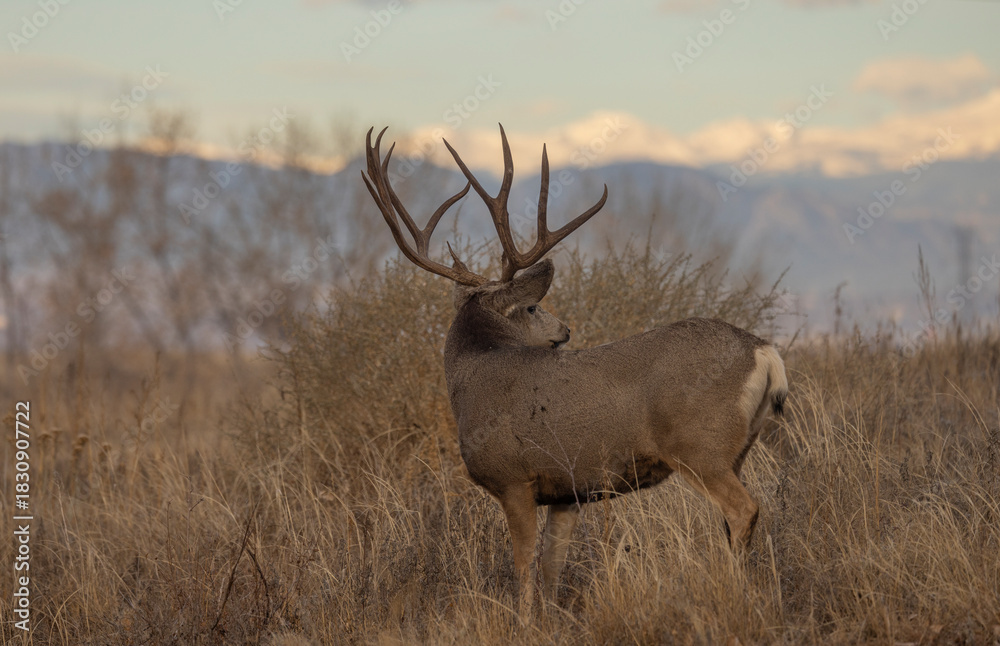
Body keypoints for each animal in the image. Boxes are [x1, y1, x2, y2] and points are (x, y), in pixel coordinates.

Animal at [360, 124, 788, 612]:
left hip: (700, 447)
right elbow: (552, 567)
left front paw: (523, 620)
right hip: (736, 450)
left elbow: (524, 565)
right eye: (533, 307)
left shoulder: (515, 478)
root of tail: (764, 351)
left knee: (744, 509)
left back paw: (735, 593)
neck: (472, 378)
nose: (565, 330)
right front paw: (549, 617)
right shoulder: (567, 490)